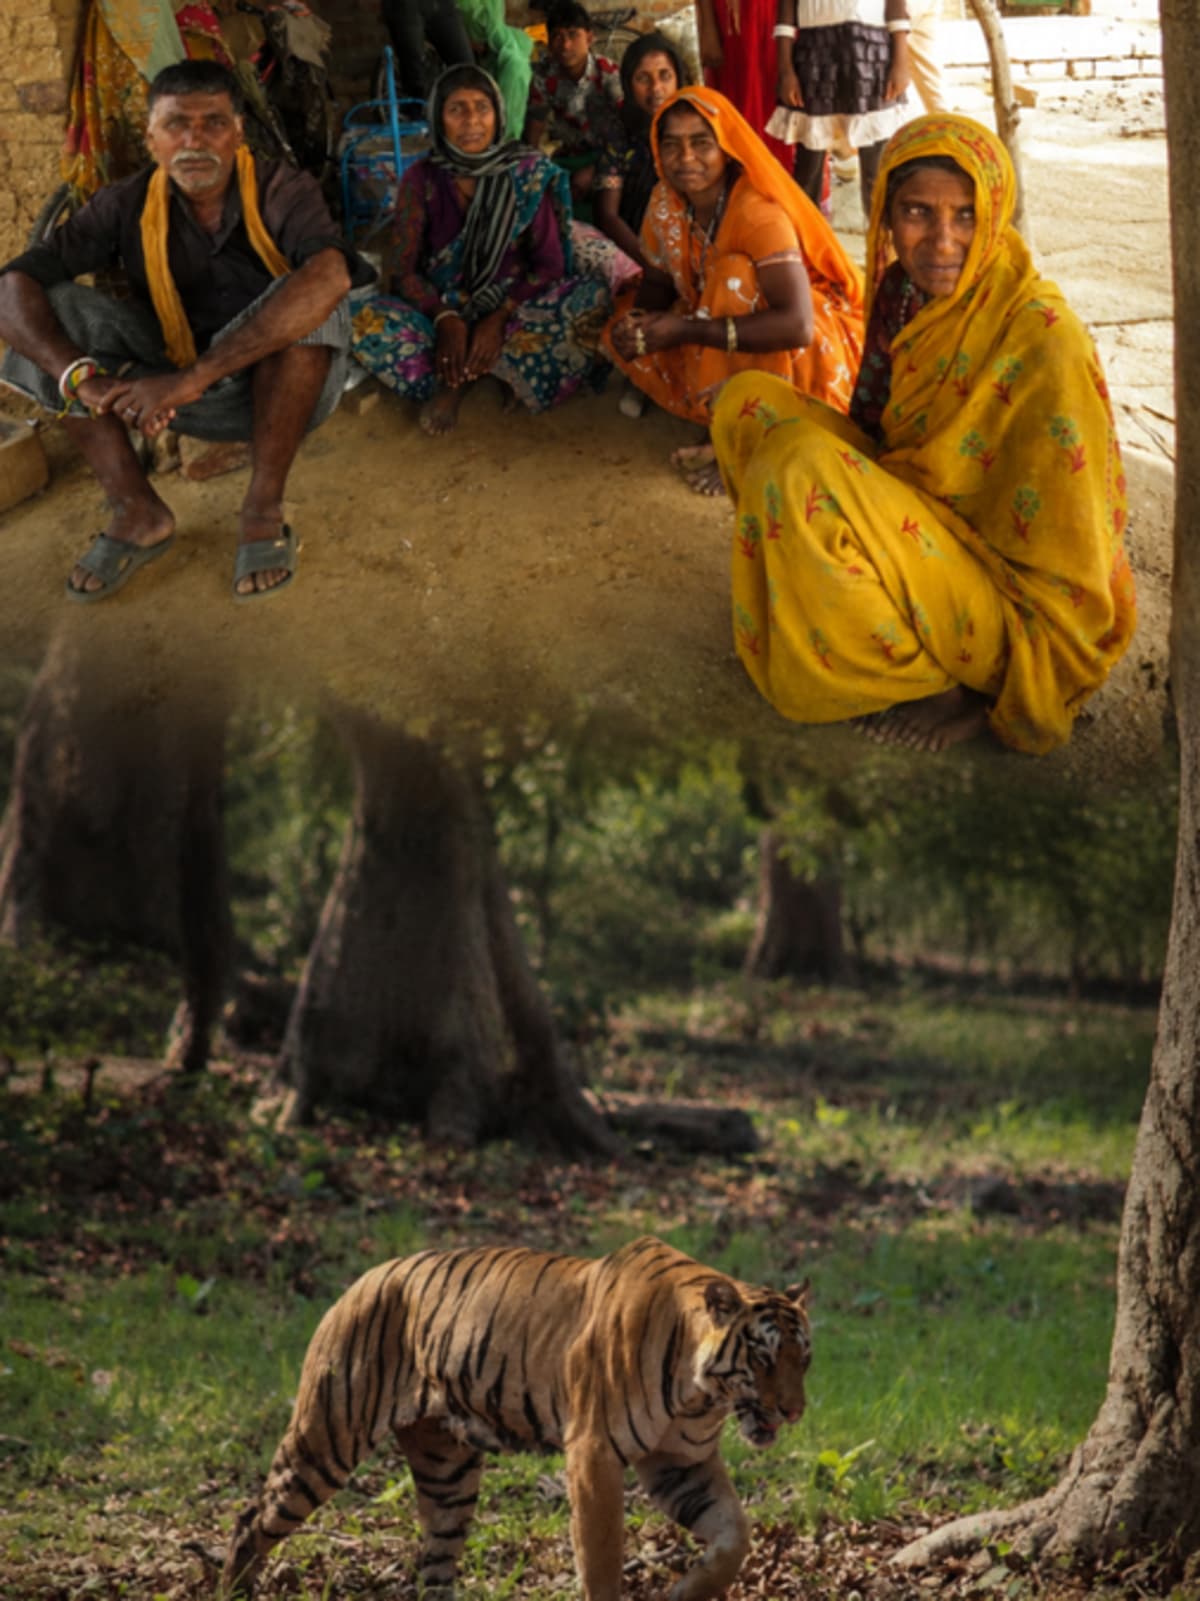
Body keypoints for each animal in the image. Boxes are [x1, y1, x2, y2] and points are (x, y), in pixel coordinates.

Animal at [220, 1235, 811, 1601]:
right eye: (763, 1358)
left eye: (803, 1359)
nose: (794, 1411)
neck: (701, 1394)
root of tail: (363, 1278)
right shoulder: (594, 1454)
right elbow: (601, 1554)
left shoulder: (679, 1463)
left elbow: (735, 1534)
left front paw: (689, 1590)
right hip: (326, 1439)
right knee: (252, 1519)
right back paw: (234, 1586)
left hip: (448, 1474)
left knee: (435, 1562)